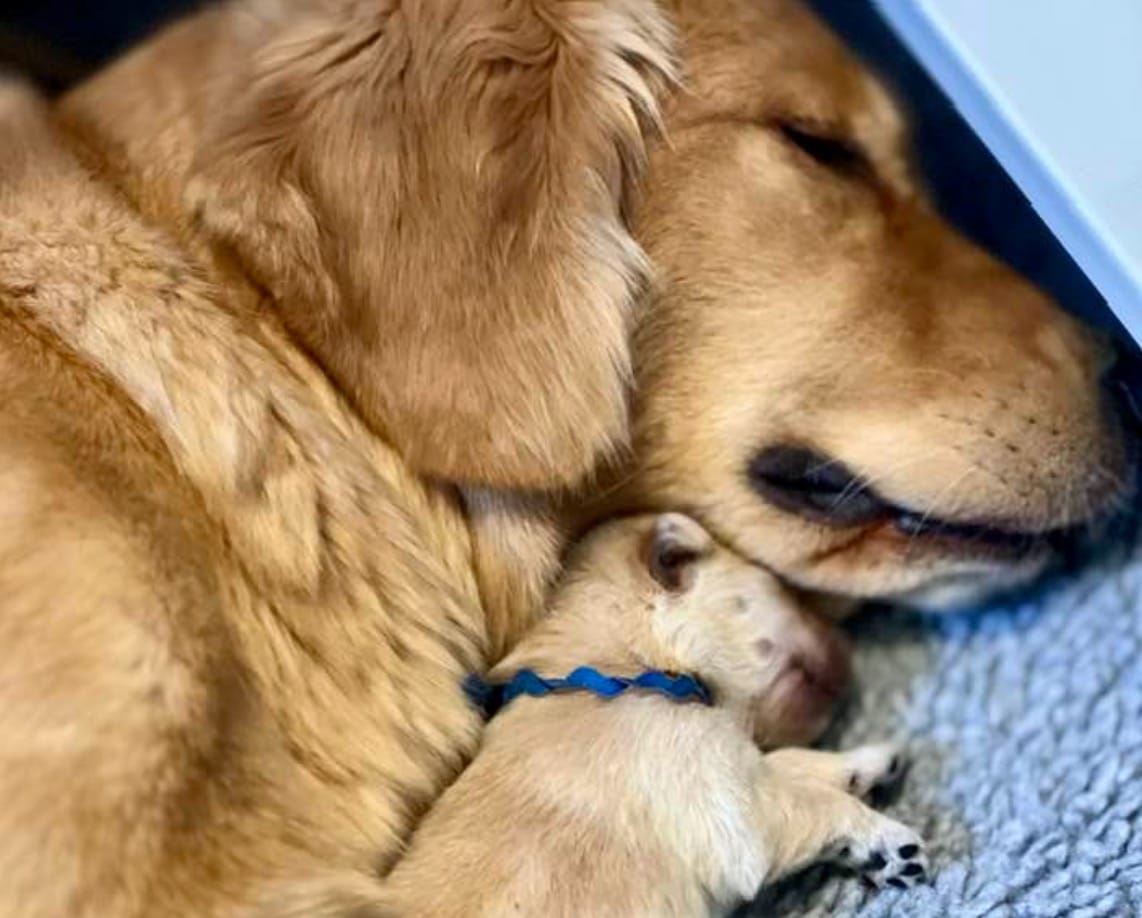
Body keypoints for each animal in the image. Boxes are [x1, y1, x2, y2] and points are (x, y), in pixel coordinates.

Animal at [365, 509, 927, 917]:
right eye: (781, 590)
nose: (852, 652)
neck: (628, 671)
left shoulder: (735, 765)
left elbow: (792, 764)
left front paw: (871, 760)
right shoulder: (733, 812)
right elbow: (812, 800)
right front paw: (887, 842)